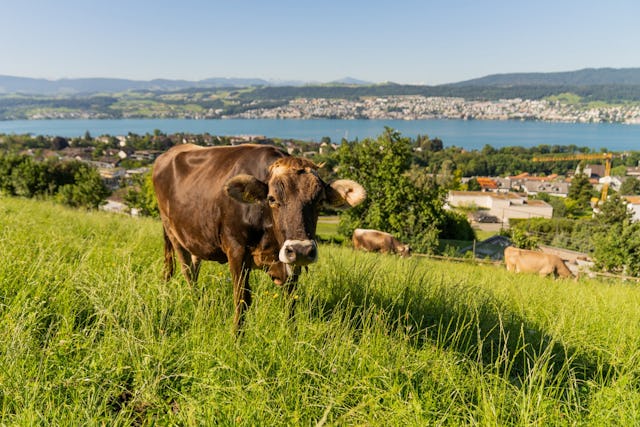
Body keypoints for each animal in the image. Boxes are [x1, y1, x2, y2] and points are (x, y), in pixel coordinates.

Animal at [152, 143, 365, 332]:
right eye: (272, 198)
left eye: (320, 201)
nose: (301, 249)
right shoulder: (236, 249)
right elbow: (242, 298)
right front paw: (237, 337)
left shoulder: (288, 260)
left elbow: (290, 298)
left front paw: (291, 334)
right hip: (172, 230)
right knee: (187, 271)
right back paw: (197, 303)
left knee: (194, 266)